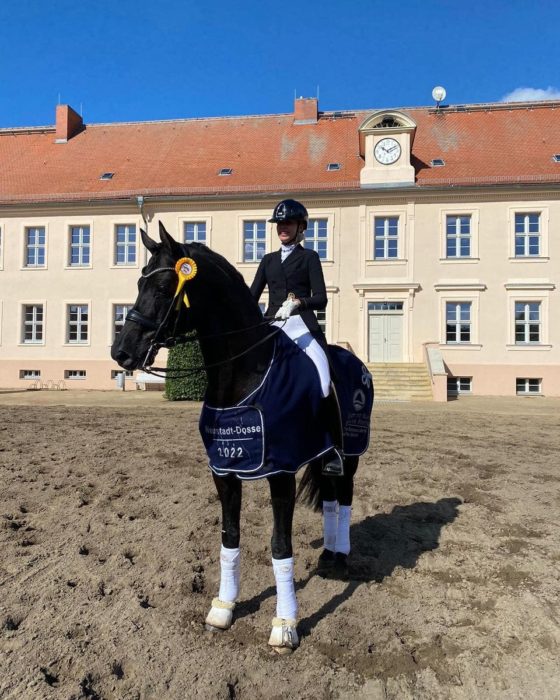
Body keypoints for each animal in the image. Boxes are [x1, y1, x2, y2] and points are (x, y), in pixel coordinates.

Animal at [110, 226, 372, 656]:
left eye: (165, 287)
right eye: (138, 283)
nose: (122, 352)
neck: (243, 374)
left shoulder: (281, 471)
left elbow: (280, 546)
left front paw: (285, 625)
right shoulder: (224, 470)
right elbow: (229, 538)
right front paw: (223, 607)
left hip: (350, 453)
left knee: (346, 497)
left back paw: (342, 556)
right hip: (324, 454)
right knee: (332, 498)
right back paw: (328, 555)